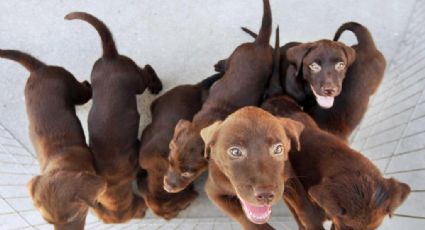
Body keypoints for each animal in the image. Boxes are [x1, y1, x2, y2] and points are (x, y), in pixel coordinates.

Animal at [0, 49, 105, 230]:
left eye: (73, 216)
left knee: (85, 87)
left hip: (74, 88)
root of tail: (38, 70)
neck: (62, 162)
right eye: (48, 222)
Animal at [164, 0, 274, 194]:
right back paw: (220, 65)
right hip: (236, 53)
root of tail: (259, 43)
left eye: (187, 173)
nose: (167, 187)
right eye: (170, 162)